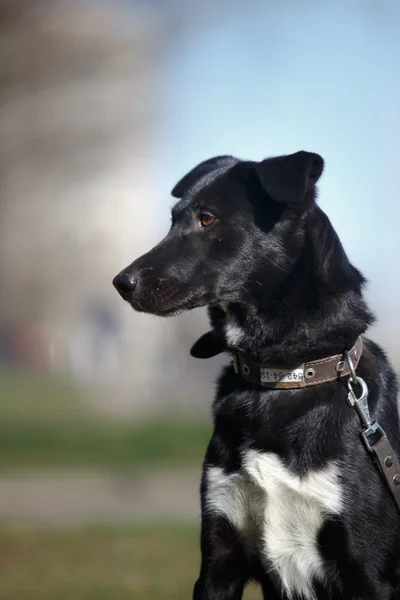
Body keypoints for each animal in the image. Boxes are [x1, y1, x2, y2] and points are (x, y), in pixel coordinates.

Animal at [113, 152, 400, 596]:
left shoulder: (369, 571)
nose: (121, 282)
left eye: (208, 219)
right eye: (173, 220)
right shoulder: (219, 558)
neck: (281, 374)